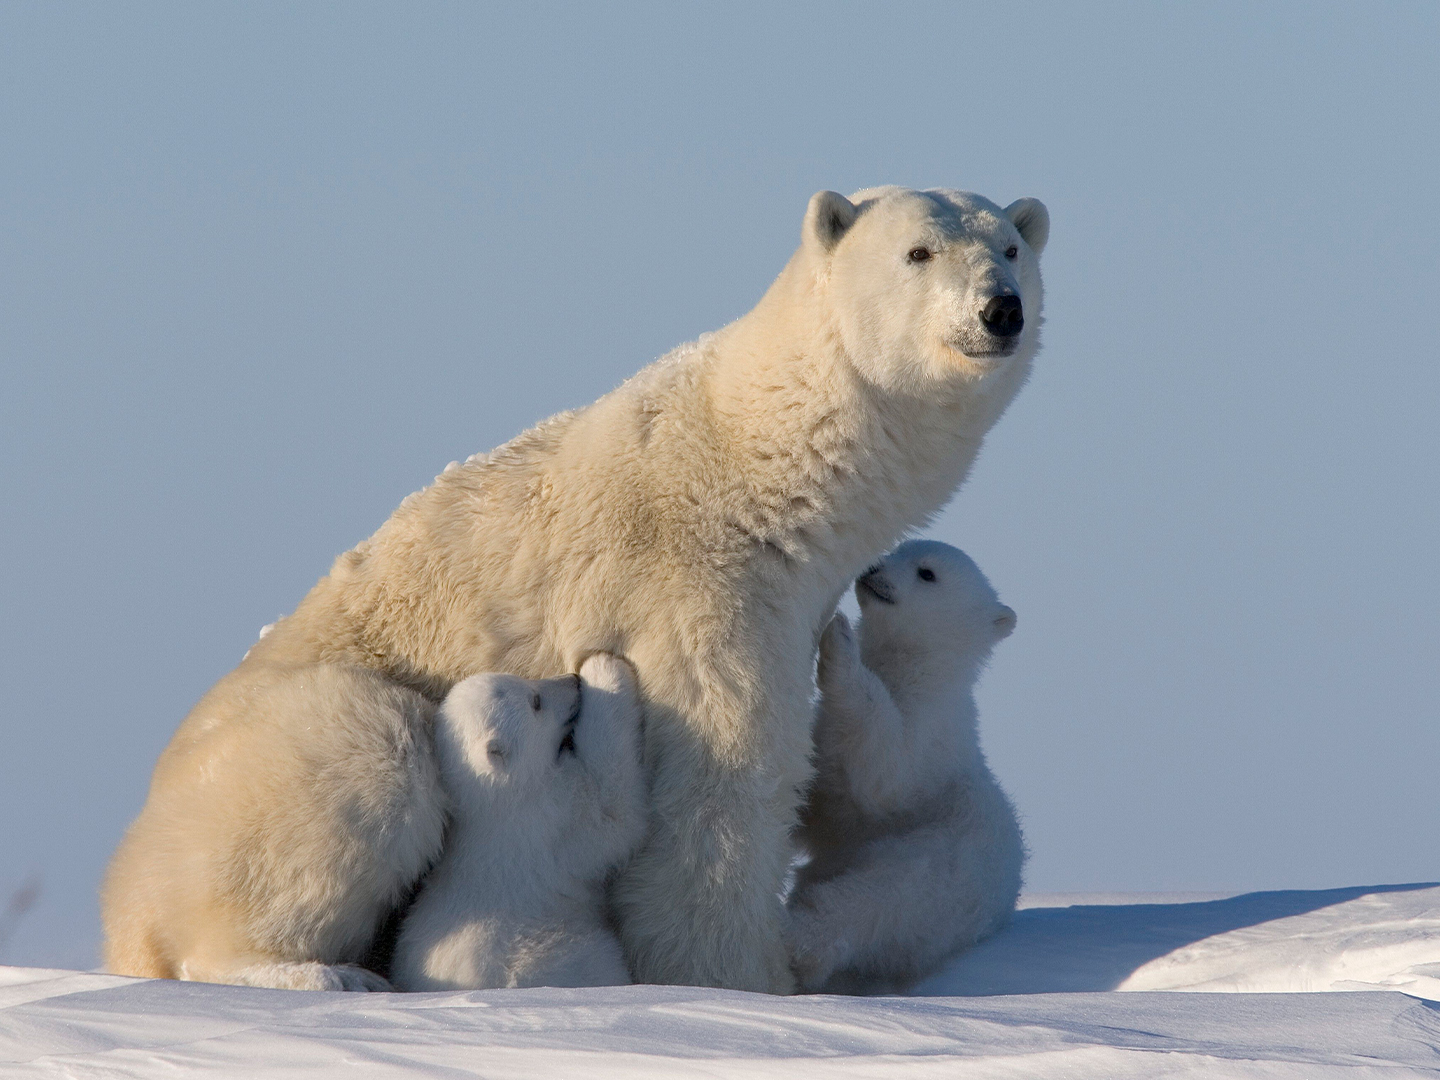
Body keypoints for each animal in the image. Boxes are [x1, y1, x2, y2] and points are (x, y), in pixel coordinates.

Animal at [388, 656, 648, 996]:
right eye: (535, 702)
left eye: (522, 678)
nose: (572, 680)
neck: (495, 800)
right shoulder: (550, 817)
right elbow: (611, 808)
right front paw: (604, 669)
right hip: (563, 952)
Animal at [789, 541, 1025, 996]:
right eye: (899, 548)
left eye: (927, 573)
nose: (872, 568)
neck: (915, 672)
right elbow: (822, 800)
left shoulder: (930, 741)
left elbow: (885, 772)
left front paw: (840, 641)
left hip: (935, 874)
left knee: (874, 899)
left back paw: (801, 941)